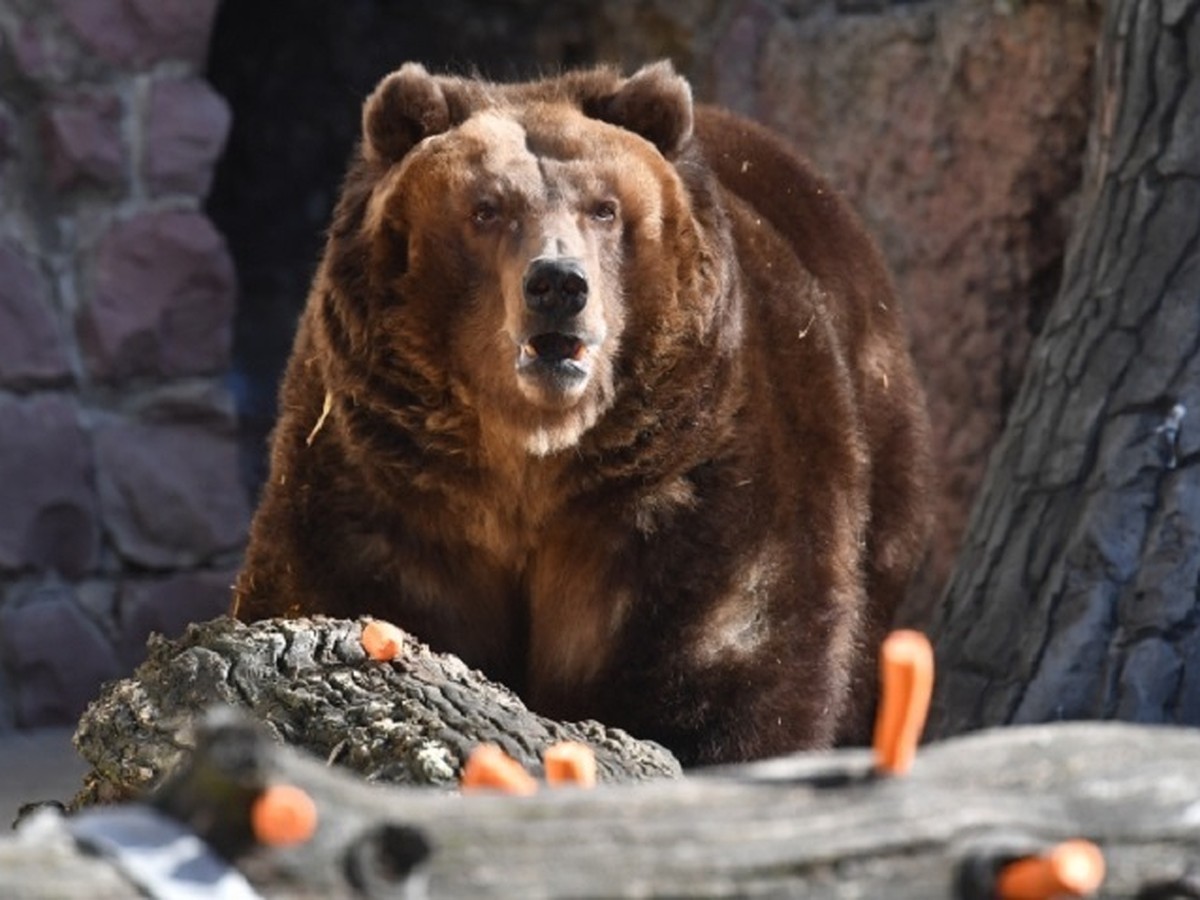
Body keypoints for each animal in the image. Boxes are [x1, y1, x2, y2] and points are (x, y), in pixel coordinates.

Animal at [231, 61, 926, 768]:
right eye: (486, 208)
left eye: (604, 208)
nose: (559, 285)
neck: (533, 458)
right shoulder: (383, 485)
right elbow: (334, 589)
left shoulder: (694, 485)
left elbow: (732, 660)